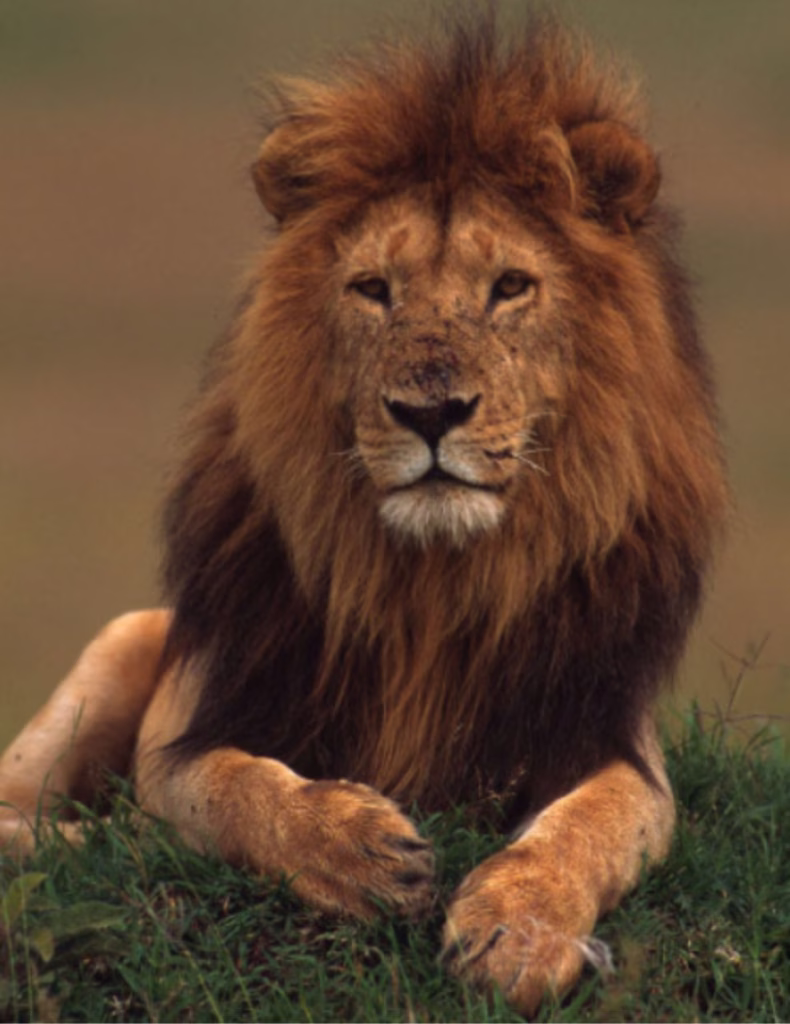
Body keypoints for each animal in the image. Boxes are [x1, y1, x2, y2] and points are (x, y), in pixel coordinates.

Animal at [0, 13, 727, 1016]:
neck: (430, 581)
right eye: (373, 289)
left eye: (511, 286)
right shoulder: (188, 726)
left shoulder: (612, 738)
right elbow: (234, 788)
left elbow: (583, 830)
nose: (431, 412)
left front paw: (521, 932)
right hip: (121, 641)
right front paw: (352, 850)